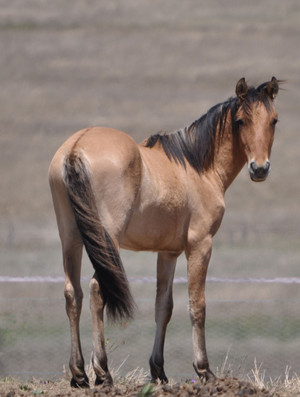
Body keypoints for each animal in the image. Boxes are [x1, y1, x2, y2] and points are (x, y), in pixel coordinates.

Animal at [48, 76, 280, 386]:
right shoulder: (200, 245)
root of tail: (77, 147)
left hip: (71, 238)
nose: (259, 168)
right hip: (106, 239)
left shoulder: (168, 253)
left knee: (73, 294)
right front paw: (204, 370)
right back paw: (103, 372)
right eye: (241, 120)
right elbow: (197, 305)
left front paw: (158, 370)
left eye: (274, 120)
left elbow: (164, 306)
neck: (196, 168)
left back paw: (79, 374)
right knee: (97, 289)